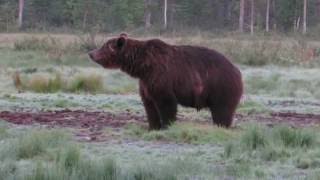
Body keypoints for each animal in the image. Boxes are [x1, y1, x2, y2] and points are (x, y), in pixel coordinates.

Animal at [88, 33, 242, 129]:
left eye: (104, 46)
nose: (91, 53)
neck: (143, 66)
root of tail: (236, 70)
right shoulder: (146, 83)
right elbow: (149, 105)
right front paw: (153, 126)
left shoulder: (161, 78)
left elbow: (166, 104)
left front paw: (167, 125)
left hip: (220, 87)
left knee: (222, 111)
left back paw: (221, 126)